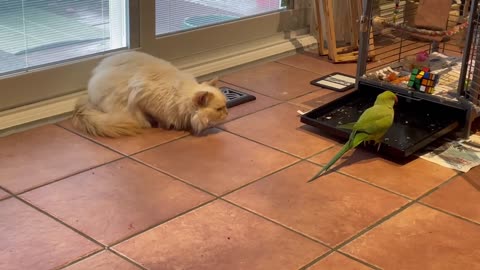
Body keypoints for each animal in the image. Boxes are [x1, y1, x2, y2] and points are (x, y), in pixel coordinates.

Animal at [72, 51, 228, 137]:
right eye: (219, 109)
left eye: (226, 106)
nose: (227, 113)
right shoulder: (143, 97)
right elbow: (157, 117)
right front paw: (162, 125)